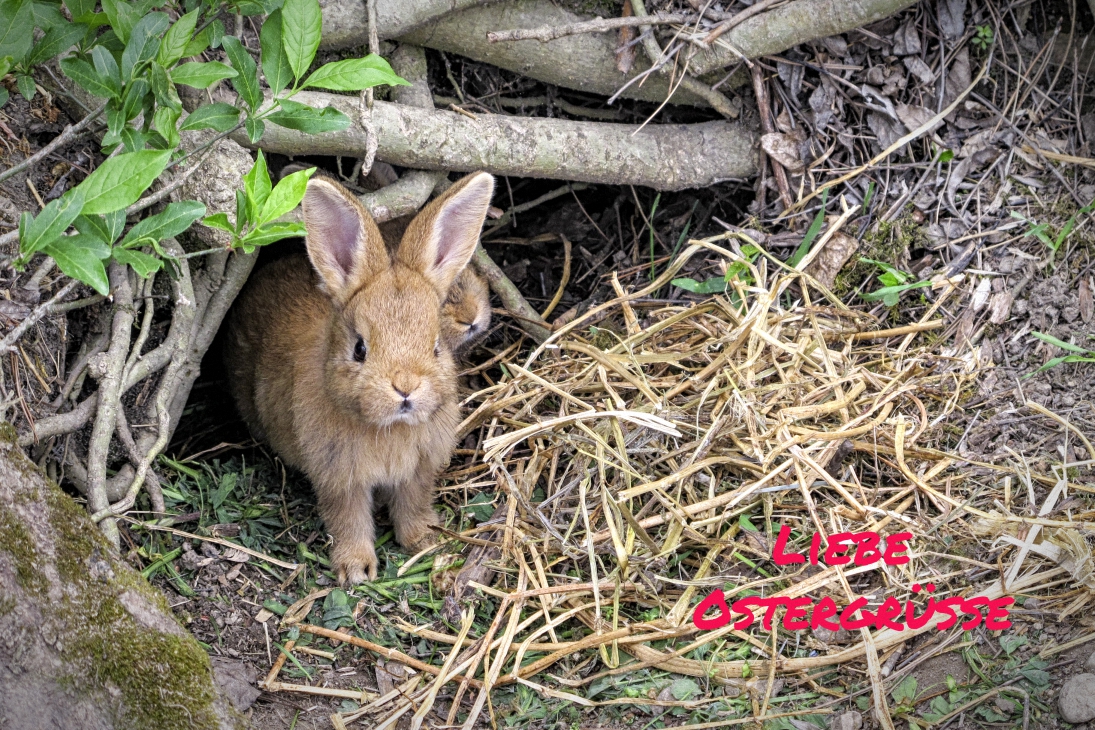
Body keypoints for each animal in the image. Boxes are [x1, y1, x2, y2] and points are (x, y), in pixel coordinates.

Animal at [224, 171, 494, 582]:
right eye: (359, 349)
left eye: (435, 346)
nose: (405, 387)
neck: (390, 428)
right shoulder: (339, 478)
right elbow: (347, 520)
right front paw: (356, 569)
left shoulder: (418, 472)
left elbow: (412, 506)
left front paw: (425, 542)